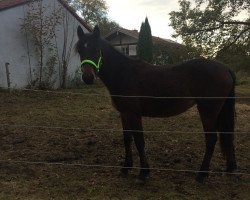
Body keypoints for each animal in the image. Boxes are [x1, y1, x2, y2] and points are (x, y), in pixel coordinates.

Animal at [75, 25, 236, 184]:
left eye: (96, 48)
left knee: (211, 140)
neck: (124, 74)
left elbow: (139, 141)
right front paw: (126, 167)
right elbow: (127, 139)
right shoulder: (124, 113)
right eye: (80, 49)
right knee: (227, 136)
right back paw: (230, 169)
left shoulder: (134, 114)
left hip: (208, 111)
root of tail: (225, 68)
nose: (88, 77)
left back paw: (201, 175)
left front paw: (143, 173)